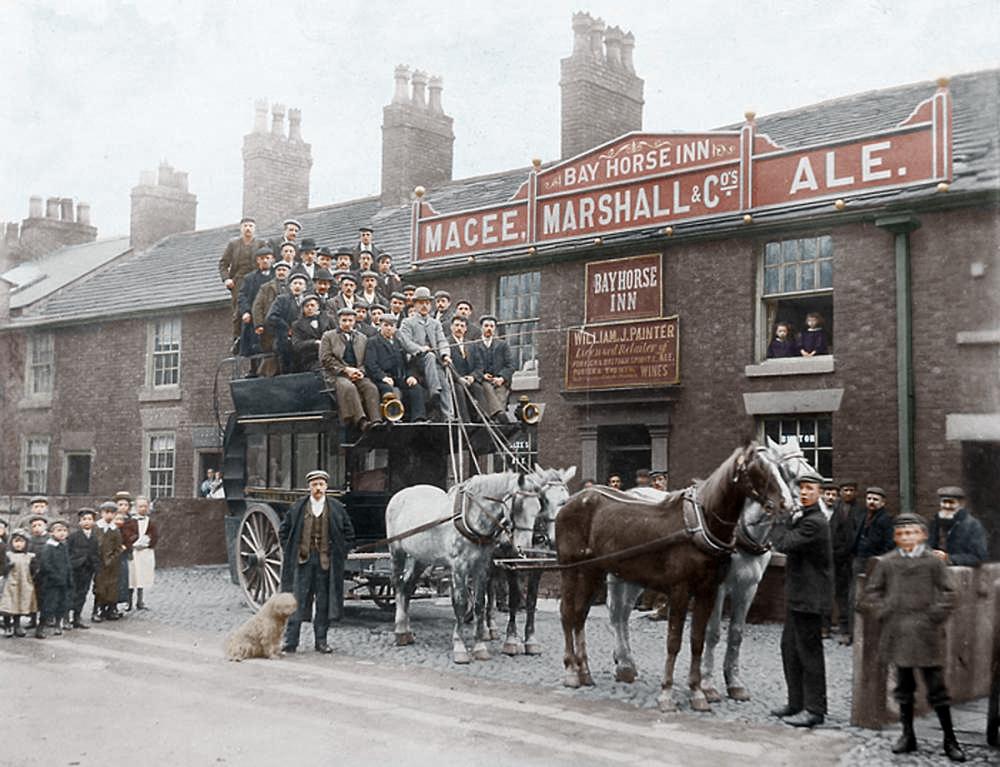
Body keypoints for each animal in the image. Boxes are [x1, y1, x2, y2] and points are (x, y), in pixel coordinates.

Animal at [386, 472, 544, 664]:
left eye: (538, 507)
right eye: (519, 506)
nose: (525, 548)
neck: (470, 518)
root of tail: (399, 494)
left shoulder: (482, 567)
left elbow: (479, 603)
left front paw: (479, 647)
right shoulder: (459, 567)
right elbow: (460, 603)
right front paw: (460, 646)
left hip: (420, 558)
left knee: (407, 587)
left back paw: (406, 631)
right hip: (396, 551)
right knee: (397, 584)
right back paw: (399, 631)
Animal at [556, 444, 796, 712]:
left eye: (781, 468)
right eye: (758, 469)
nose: (787, 504)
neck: (701, 523)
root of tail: (573, 500)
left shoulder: (709, 590)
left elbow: (698, 640)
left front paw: (697, 692)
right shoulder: (681, 590)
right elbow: (674, 641)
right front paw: (667, 694)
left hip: (593, 571)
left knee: (581, 615)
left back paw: (586, 672)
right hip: (571, 569)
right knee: (569, 613)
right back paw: (572, 671)